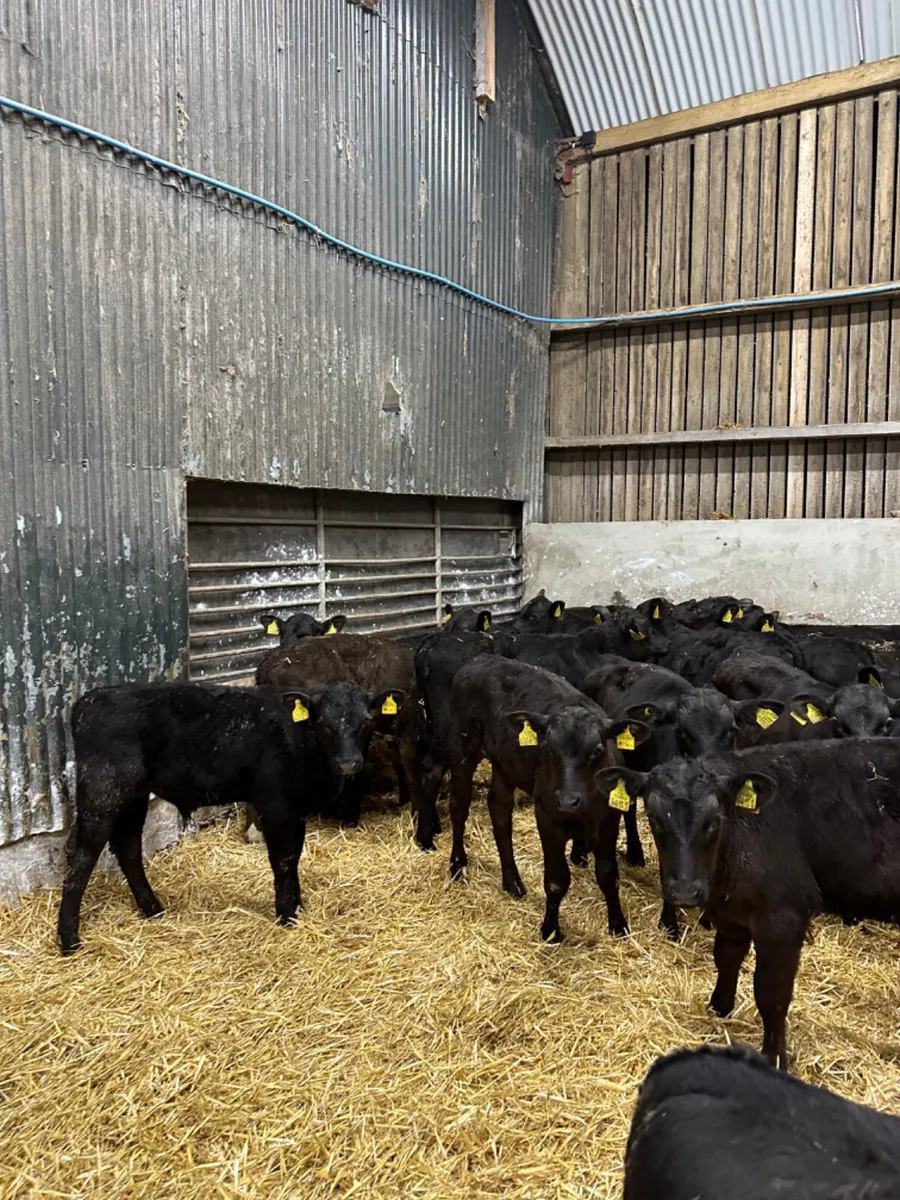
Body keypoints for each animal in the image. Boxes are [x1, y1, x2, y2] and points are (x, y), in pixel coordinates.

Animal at [58, 681, 371, 954]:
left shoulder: (297, 811)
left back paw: (153, 909)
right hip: (103, 791)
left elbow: (294, 857)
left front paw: (298, 906)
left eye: (365, 722)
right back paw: (69, 940)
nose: (349, 764)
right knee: (83, 855)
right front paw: (286, 915)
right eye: (325, 724)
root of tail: (90, 699)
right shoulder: (275, 806)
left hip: (134, 795)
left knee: (128, 846)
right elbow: (282, 860)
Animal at [447, 657, 649, 943]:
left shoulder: (609, 821)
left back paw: (512, 881)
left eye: (598, 750)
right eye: (548, 749)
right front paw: (550, 929)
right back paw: (458, 865)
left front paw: (618, 924)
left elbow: (609, 875)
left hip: (504, 763)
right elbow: (556, 879)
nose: (567, 800)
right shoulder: (548, 818)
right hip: (464, 745)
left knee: (499, 811)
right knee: (459, 806)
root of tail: (481, 659)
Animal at [596, 737, 900, 1066]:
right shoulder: (732, 911)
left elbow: (771, 993)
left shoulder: (783, 917)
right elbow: (726, 957)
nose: (685, 892)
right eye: (652, 817)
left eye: (713, 821)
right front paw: (719, 1007)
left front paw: (774, 1056)